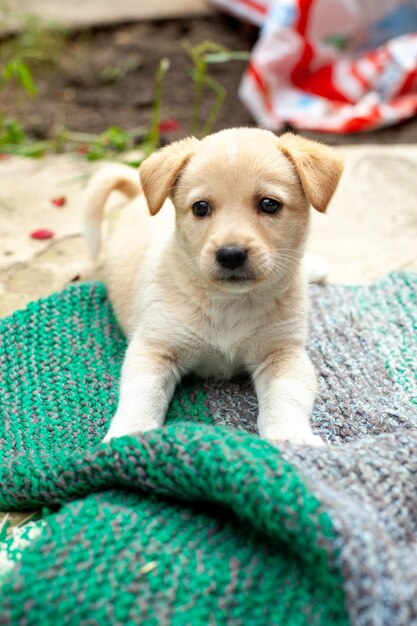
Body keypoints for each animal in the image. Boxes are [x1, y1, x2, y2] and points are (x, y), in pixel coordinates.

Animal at [83, 128, 342, 444]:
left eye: (269, 204)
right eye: (201, 207)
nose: (230, 255)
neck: (229, 303)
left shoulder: (283, 353)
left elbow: (286, 399)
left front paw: (290, 436)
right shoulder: (154, 347)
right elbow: (142, 395)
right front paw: (130, 435)